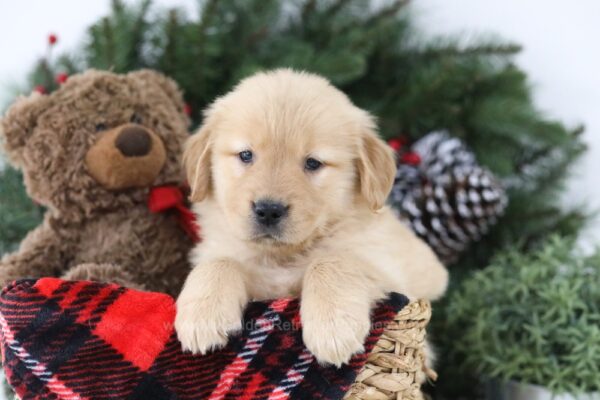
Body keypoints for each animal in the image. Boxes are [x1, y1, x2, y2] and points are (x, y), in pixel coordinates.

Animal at [173, 69, 446, 366]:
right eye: (246, 155)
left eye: (313, 163)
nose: (268, 210)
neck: (282, 257)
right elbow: (218, 263)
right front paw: (202, 316)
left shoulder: (386, 267)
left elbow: (331, 261)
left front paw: (333, 327)